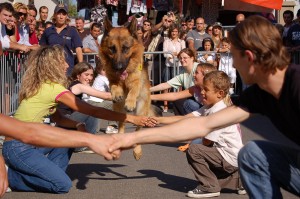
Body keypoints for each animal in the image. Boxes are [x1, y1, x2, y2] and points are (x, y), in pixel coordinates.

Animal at [99, 17, 156, 159]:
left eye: (125, 48)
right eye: (112, 49)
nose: (119, 68)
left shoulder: (136, 82)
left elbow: (133, 90)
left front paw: (130, 102)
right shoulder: (112, 80)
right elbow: (114, 86)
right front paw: (117, 93)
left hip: (141, 111)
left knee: (138, 130)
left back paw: (137, 150)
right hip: (118, 111)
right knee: (121, 125)